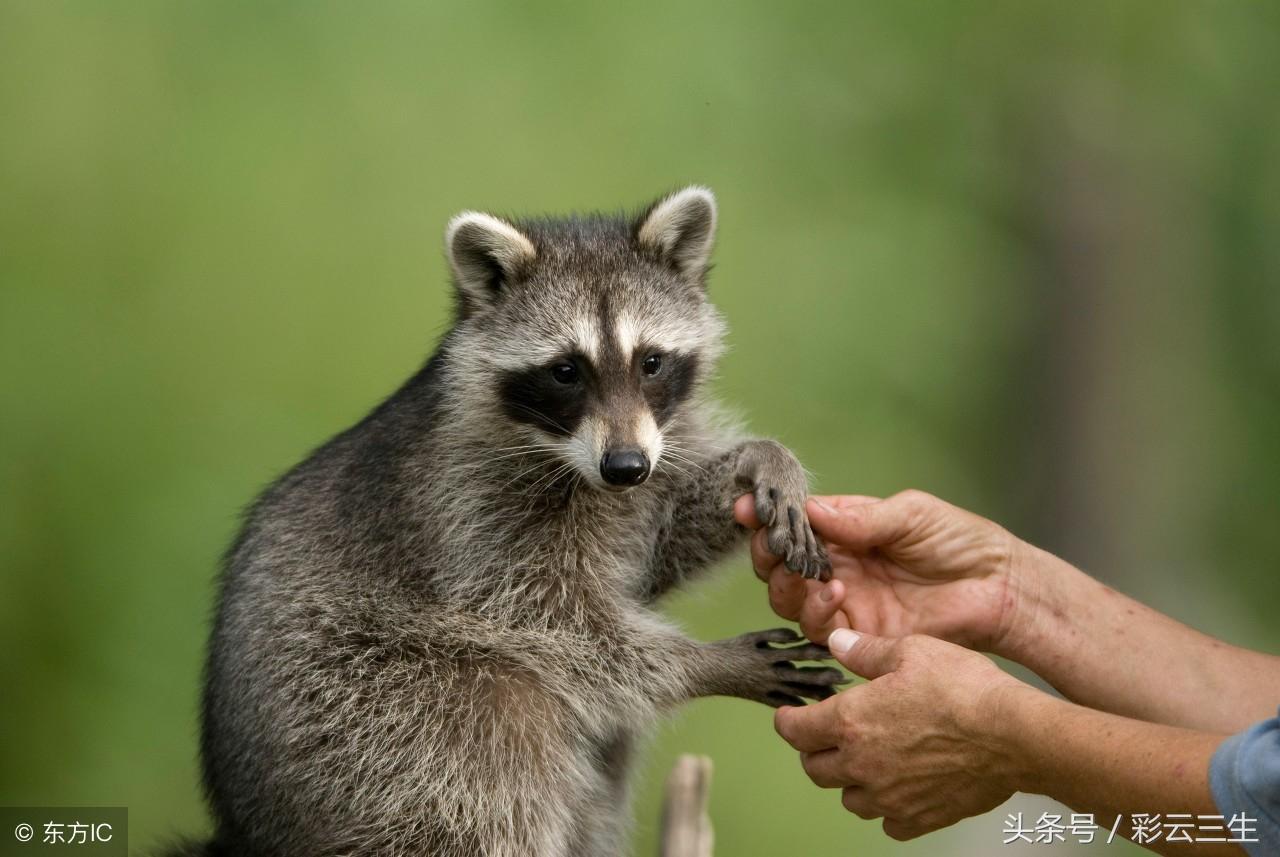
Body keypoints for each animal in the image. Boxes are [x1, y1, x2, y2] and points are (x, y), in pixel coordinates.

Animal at [186, 188, 839, 857]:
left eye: (652, 362)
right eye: (566, 371)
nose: (625, 467)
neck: (571, 459)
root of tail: (251, 831)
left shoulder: (648, 462)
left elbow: (658, 551)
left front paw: (756, 462)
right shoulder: (471, 509)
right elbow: (557, 621)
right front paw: (704, 663)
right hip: (386, 714)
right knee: (494, 767)